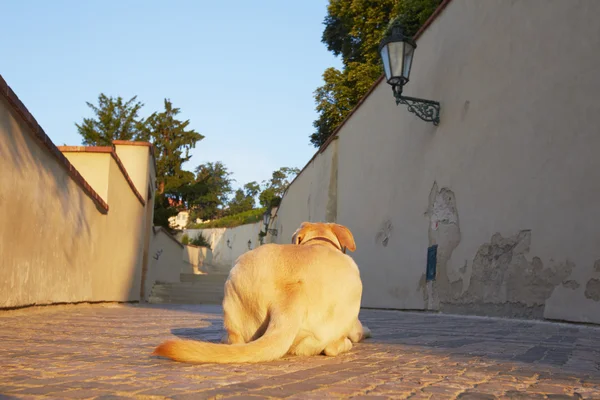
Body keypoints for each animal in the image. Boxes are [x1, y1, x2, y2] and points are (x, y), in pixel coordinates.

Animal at [154, 222, 370, 362]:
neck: (319, 241)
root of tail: (290, 301)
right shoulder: (355, 324)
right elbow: (361, 330)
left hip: (235, 278)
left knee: (236, 341)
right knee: (333, 347)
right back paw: (346, 343)